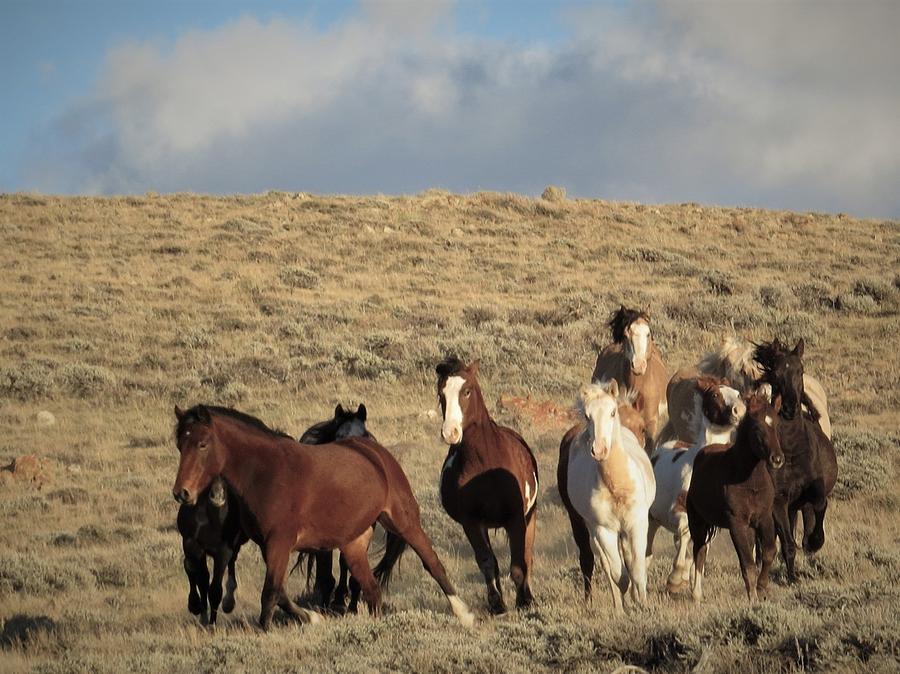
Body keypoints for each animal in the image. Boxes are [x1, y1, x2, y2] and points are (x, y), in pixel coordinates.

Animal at [171, 402, 474, 628]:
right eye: (179, 445)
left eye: (202, 444)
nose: (182, 493)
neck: (266, 473)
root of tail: (376, 453)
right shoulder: (270, 546)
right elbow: (281, 592)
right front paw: (313, 617)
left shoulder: (280, 542)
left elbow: (270, 593)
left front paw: (265, 630)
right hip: (353, 545)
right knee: (370, 588)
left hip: (404, 521)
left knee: (431, 562)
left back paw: (464, 613)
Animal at [434, 356, 536, 616]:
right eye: (441, 394)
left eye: (467, 391)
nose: (450, 433)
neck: (484, 463)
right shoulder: (471, 522)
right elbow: (487, 562)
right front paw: (497, 604)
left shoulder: (516, 518)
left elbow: (519, 563)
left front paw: (524, 601)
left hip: (530, 514)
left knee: (527, 554)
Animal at [684, 392, 784, 600]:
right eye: (757, 427)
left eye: (778, 425)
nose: (777, 459)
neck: (749, 483)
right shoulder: (736, 524)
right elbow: (747, 564)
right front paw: (753, 598)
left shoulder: (764, 517)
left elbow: (768, 552)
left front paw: (762, 588)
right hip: (698, 522)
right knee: (699, 550)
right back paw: (696, 593)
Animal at [756, 338, 840, 580]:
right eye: (775, 373)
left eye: (800, 370)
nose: (789, 407)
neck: (793, 450)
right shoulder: (779, 501)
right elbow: (788, 543)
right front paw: (792, 577)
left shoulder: (814, 491)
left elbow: (820, 506)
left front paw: (814, 542)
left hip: (797, 505)